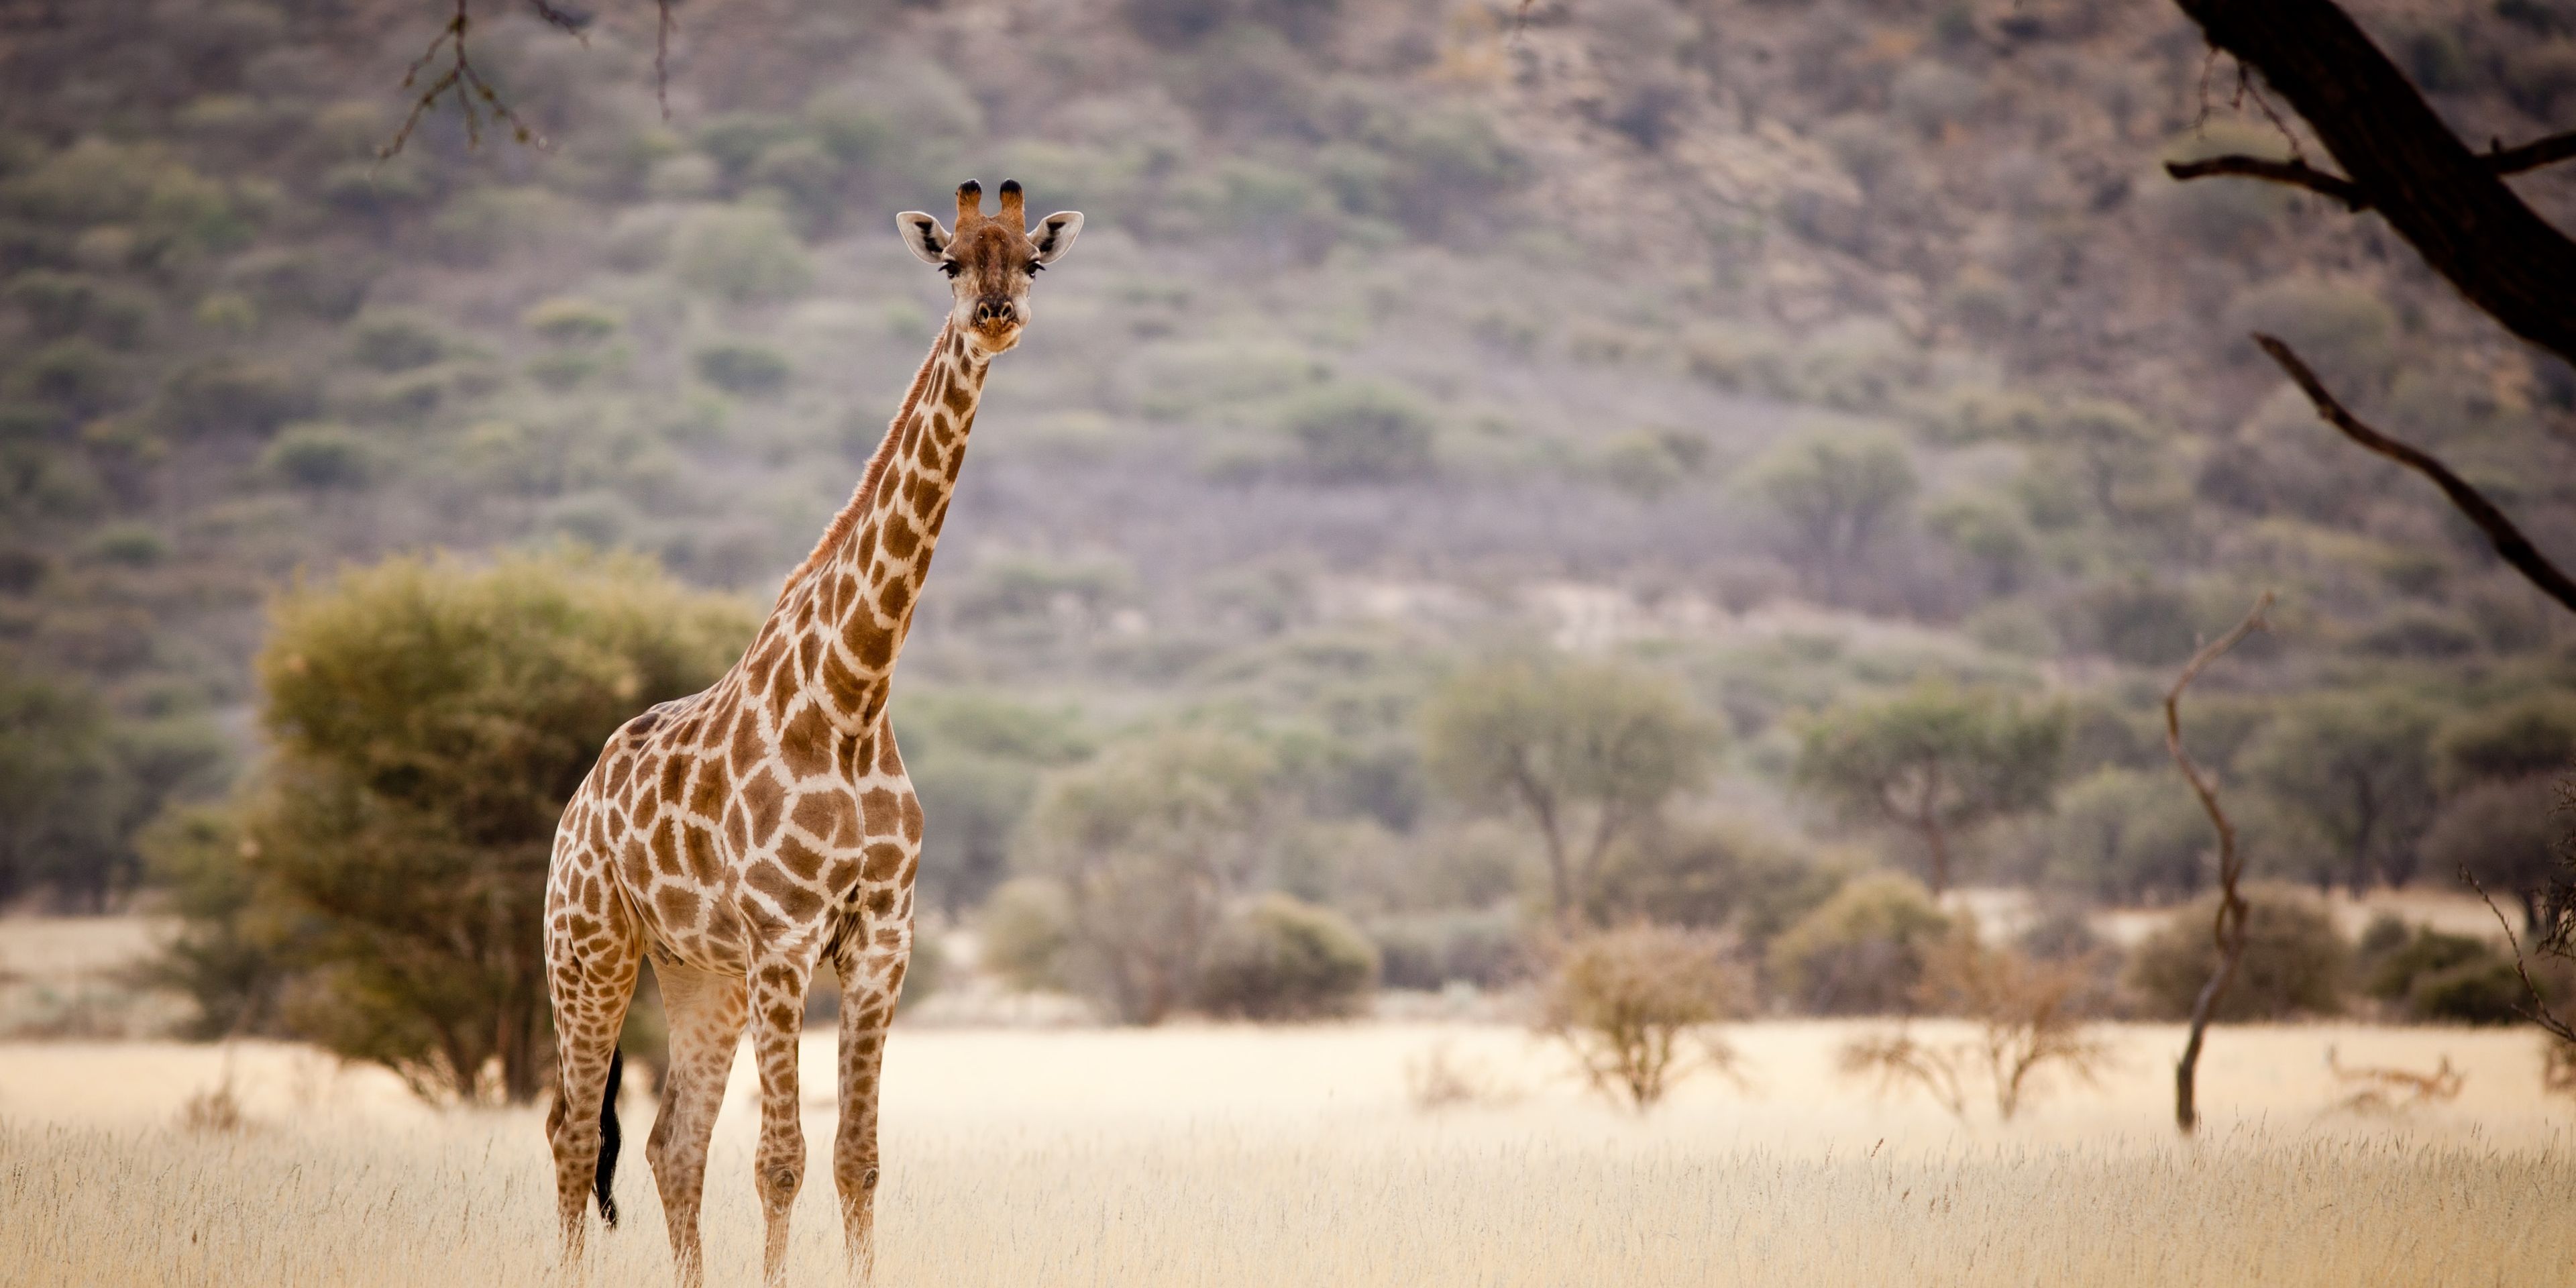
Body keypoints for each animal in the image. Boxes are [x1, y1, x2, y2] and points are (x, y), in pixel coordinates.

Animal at [541, 178, 1082, 1284]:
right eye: (949, 262)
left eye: (1033, 262)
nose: (995, 316)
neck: (851, 700)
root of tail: (577, 805)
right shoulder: (785, 940)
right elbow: (782, 1161)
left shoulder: (880, 943)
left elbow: (856, 1161)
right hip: (590, 948)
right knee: (575, 1137)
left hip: (696, 972)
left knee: (669, 1145)